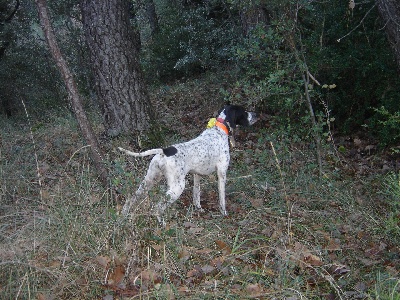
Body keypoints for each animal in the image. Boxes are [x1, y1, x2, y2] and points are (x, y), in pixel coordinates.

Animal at [117, 104, 258, 224]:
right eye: (244, 111)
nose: (256, 115)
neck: (219, 129)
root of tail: (164, 151)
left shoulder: (197, 175)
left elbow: (196, 195)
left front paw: (198, 209)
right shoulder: (222, 174)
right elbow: (222, 198)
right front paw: (224, 213)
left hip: (149, 180)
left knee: (131, 198)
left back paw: (123, 215)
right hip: (177, 187)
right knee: (157, 207)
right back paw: (162, 223)